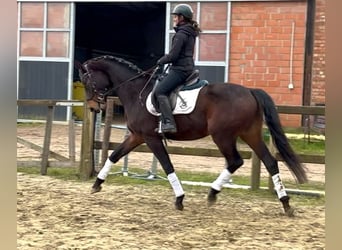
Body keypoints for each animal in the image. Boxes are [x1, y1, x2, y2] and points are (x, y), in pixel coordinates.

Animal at [77, 55, 308, 217]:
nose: (92, 107)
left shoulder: (151, 138)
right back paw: (286, 204)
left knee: (235, 161)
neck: (136, 92)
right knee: (270, 162)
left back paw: (213, 193)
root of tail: (250, 91)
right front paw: (97, 184)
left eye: (86, 81)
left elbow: (167, 165)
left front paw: (179, 199)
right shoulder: (137, 136)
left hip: (222, 135)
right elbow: (114, 155)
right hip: (249, 134)